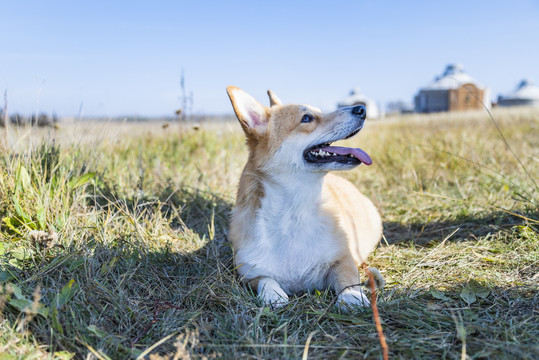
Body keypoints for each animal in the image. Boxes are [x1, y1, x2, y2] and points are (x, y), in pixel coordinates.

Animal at [228, 86, 384, 308]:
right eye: (307, 118)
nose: (361, 109)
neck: (294, 213)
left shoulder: (343, 258)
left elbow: (346, 276)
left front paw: (351, 295)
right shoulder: (247, 274)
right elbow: (265, 279)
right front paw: (273, 295)